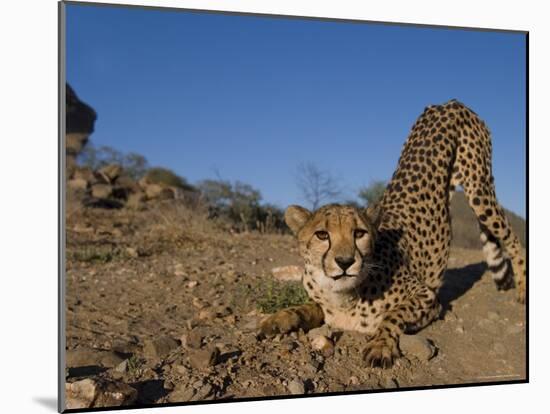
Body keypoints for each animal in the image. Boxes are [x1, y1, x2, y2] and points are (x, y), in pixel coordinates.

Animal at [260, 100, 528, 368]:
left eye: (359, 233)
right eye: (322, 235)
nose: (345, 262)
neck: (342, 296)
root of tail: (450, 102)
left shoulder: (429, 298)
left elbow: (393, 314)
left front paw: (381, 344)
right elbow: (306, 307)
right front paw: (278, 318)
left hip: (479, 188)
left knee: (514, 241)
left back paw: (523, 294)